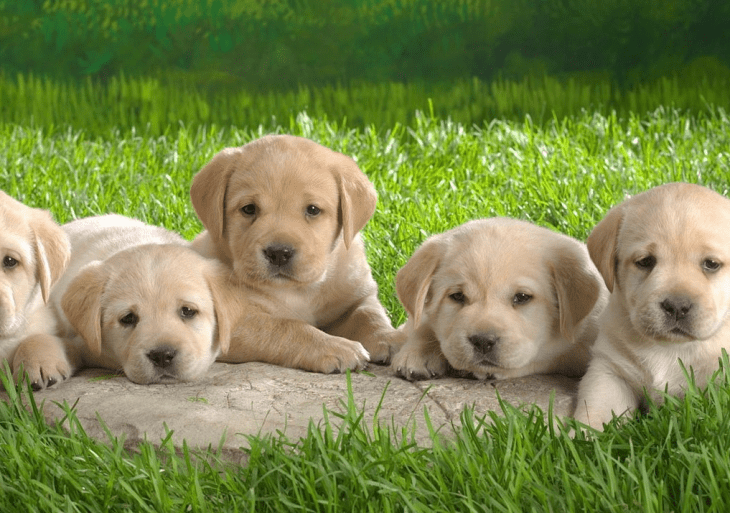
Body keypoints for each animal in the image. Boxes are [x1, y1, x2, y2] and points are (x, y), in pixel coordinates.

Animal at [186, 134, 392, 374]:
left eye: (313, 210)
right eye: (249, 209)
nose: (278, 253)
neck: (300, 291)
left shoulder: (358, 294)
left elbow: (370, 315)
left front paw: (391, 338)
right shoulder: (232, 324)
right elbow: (288, 327)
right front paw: (335, 346)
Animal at [572, 182, 728, 430]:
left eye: (711, 264)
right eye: (645, 261)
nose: (677, 306)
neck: (671, 349)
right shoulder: (609, 371)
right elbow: (597, 412)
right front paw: (583, 437)